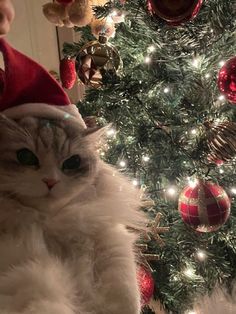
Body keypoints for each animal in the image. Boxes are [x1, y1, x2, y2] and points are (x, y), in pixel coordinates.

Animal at [0, 115, 145, 314]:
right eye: (26, 157)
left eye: (72, 162)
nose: (50, 181)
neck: (52, 222)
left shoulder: (113, 245)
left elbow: (126, 296)